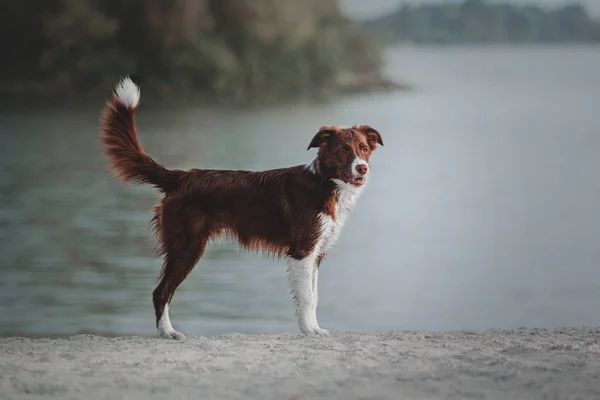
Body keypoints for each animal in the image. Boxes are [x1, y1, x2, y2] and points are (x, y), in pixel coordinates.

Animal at [96, 76, 382, 340]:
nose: (362, 168)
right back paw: (168, 332)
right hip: (187, 246)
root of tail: (182, 176)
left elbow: (313, 295)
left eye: (364, 149)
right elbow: (307, 297)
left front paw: (311, 328)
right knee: (161, 291)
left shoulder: (317, 252)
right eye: (343, 150)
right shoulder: (302, 251)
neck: (323, 183)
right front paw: (311, 331)